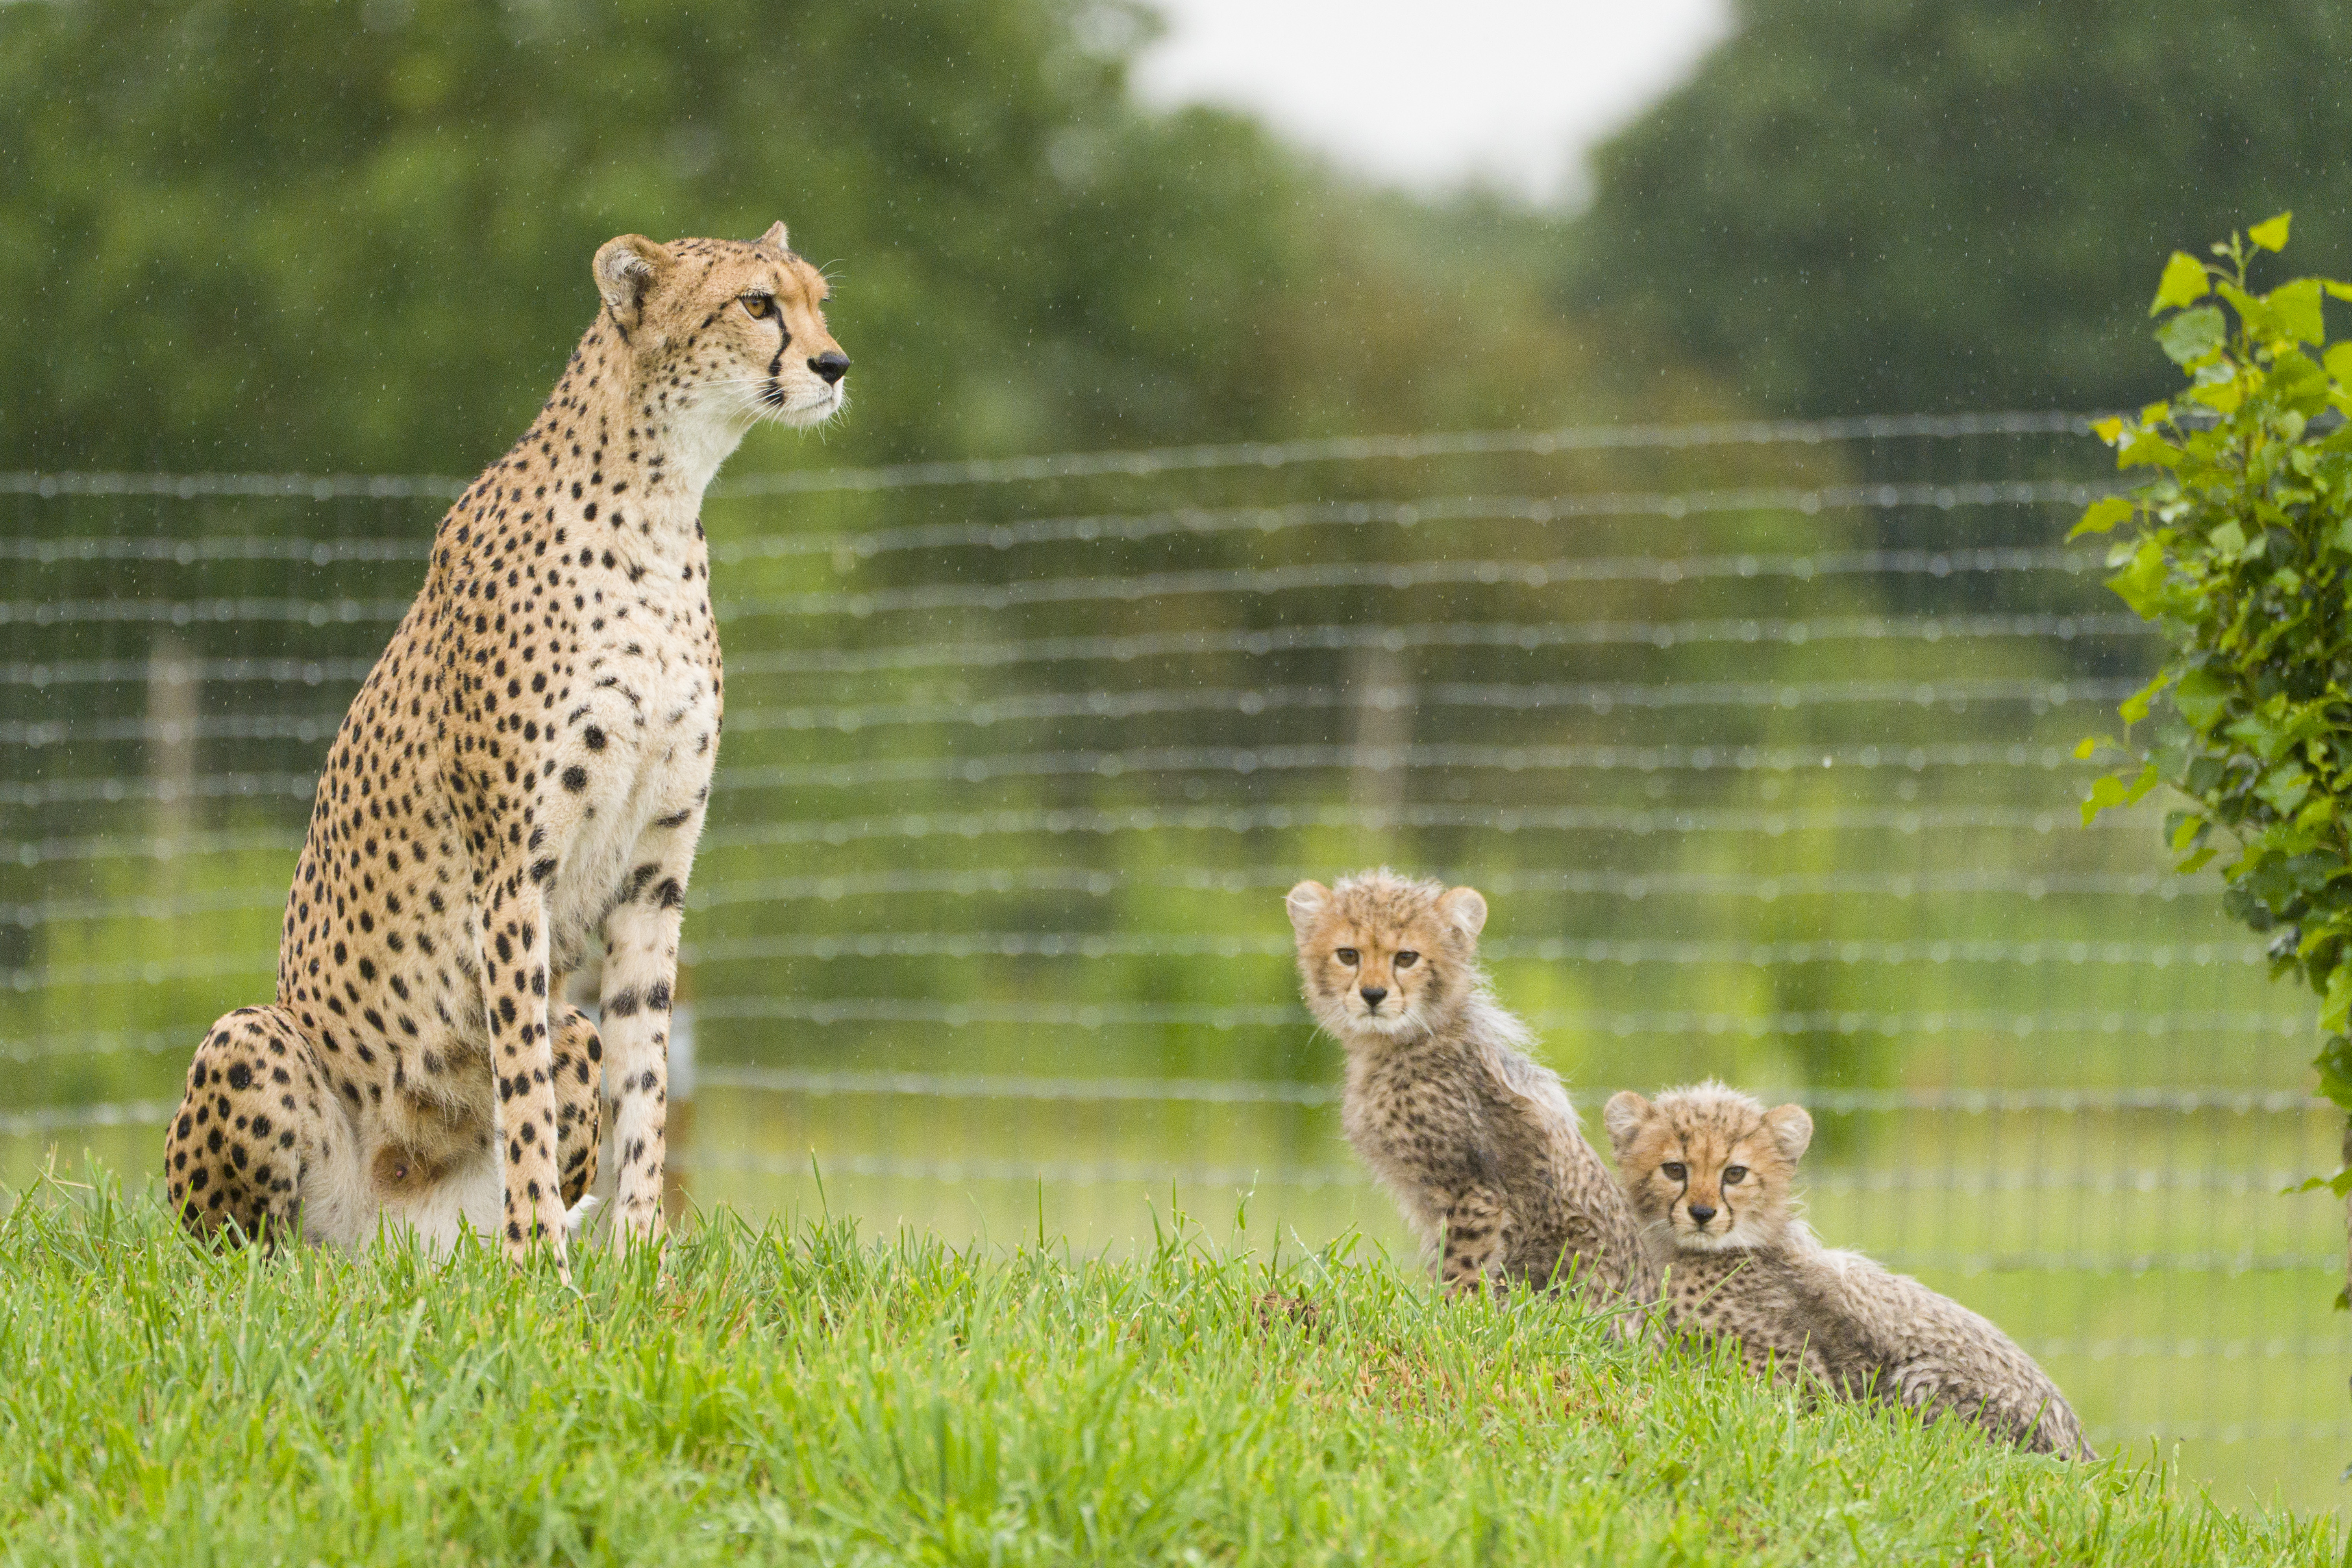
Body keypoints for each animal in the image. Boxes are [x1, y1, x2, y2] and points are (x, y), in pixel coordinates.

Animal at [162, 221, 848, 1279]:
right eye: (756, 303)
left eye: (814, 300)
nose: (833, 364)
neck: (659, 501)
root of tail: (383, 1247)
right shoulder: (513, 868)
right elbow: (518, 1083)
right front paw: (542, 1271)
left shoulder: (655, 871)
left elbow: (645, 1081)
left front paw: (640, 1264)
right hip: (252, 1046)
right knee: (231, 1255)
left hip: (569, 1038)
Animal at [1286, 868, 1655, 1316]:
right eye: (1348, 955)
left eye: (1406, 958)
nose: (1373, 995)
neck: (1403, 1042)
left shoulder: (1474, 1189)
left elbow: (1459, 1266)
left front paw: (1445, 1315)